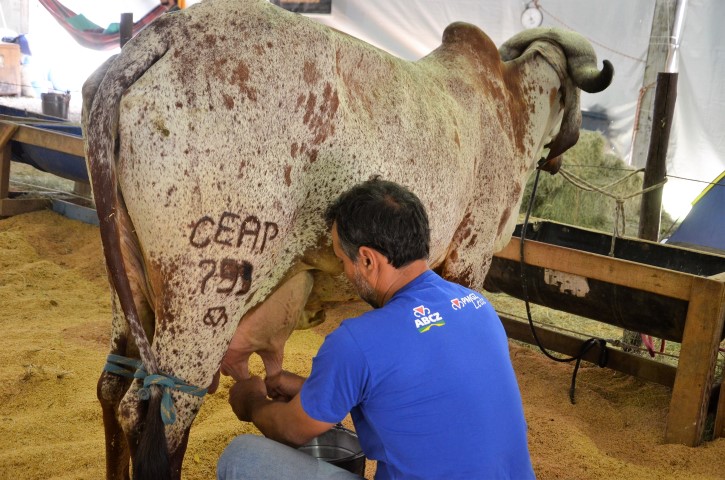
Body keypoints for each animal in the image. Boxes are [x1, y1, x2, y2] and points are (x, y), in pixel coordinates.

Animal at [79, 1, 612, 478]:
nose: (560, 155)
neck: (510, 105)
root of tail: (163, 34)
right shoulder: (470, 258)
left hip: (127, 284)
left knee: (111, 388)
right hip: (205, 295)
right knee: (156, 419)